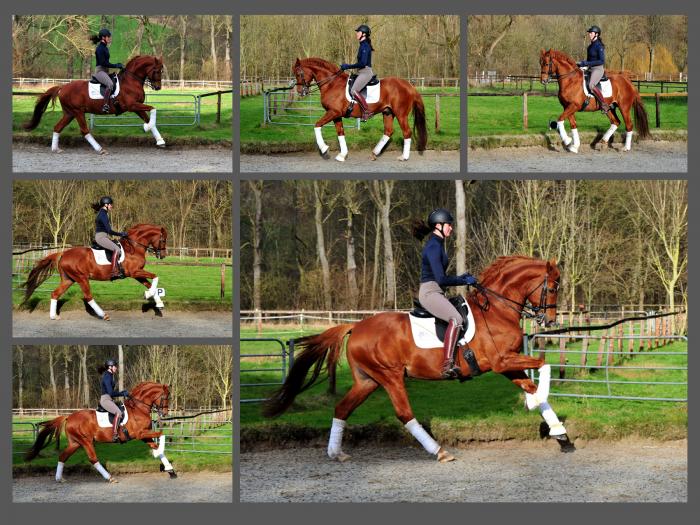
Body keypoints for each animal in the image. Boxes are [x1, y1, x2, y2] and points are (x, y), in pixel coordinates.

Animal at [21, 222, 167, 320]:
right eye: (163, 240)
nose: (163, 255)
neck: (134, 247)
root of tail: (63, 254)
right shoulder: (134, 272)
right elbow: (155, 277)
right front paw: (148, 295)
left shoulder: (137, 274)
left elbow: (151, 284)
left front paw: (158, 303)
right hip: (81, 278)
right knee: (88, 296)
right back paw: (103, 315)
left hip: (69, 279)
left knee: (55, 294)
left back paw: (53, 316)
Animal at [22, 55, 165, 154]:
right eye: (157, 70)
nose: (158, 87)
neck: (131, 81)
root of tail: (62, 87)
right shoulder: (131, 106)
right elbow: (153, 109)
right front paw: (147, 128)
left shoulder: (137, 106)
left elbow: (149, 118)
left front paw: (160, 141)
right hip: (78, 112)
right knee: (84, 131)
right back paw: (100, 149)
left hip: (69, 113)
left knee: (57, 127)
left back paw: (55, 149)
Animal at [26, 378, 176, 482]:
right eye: (165, 397)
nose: (164, 414)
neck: (138, 408)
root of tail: (69, 417)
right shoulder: (140, 434)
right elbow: (161, 435)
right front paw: (160, 454)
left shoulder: (145, 436)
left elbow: (156, 445)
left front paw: (171, 470)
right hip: (86, 441)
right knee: (93, 459)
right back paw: (110, 478)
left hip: (75, 443)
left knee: (63, 456)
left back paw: (59, 478)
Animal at [264, 256, 576, 460]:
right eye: (553, 287)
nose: (549, 320)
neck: (497, 309)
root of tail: (356, 327)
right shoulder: (502, 361)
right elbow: (544, 367)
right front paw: (536, 403)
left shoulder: (507, 365)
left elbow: (534, 385)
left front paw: (561, 436)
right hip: (389, 376)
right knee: (404, 414)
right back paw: (438, 451)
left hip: (367, 381)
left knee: (342, 408)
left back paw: (335, 453)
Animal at [292, 57, 426, 162]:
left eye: (298, 73)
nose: (300, 92)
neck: (331, 83)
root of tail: (409, 86)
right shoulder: (336, 115)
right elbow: (340, 132)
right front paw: (342, 155)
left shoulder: (333, 112)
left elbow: (317, 125)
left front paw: (324, 149)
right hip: (388, 112)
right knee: (388, 131)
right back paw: (374, 153)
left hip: (400, 114)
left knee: (406, 132)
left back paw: (404, 157)